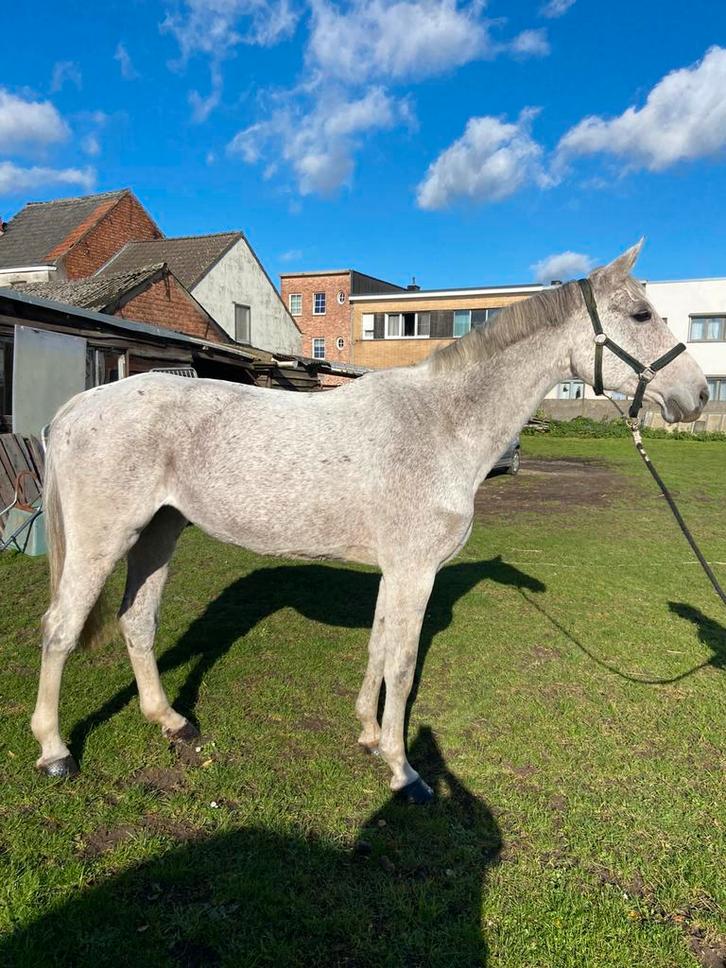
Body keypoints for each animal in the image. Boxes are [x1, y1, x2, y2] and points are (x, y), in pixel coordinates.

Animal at [31, 241, 708, 802]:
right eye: (641, 316)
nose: (699, 395)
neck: (442, 424)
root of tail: (74, 409)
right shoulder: (414, 572)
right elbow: (402, 668)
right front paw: (404, 771)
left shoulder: (397, 573)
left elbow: (379, 650)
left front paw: (366, 735)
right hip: (103, 540)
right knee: (61, 629)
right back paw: (56, 752)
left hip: (160, 531)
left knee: (137, 622)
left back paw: (172, 721)